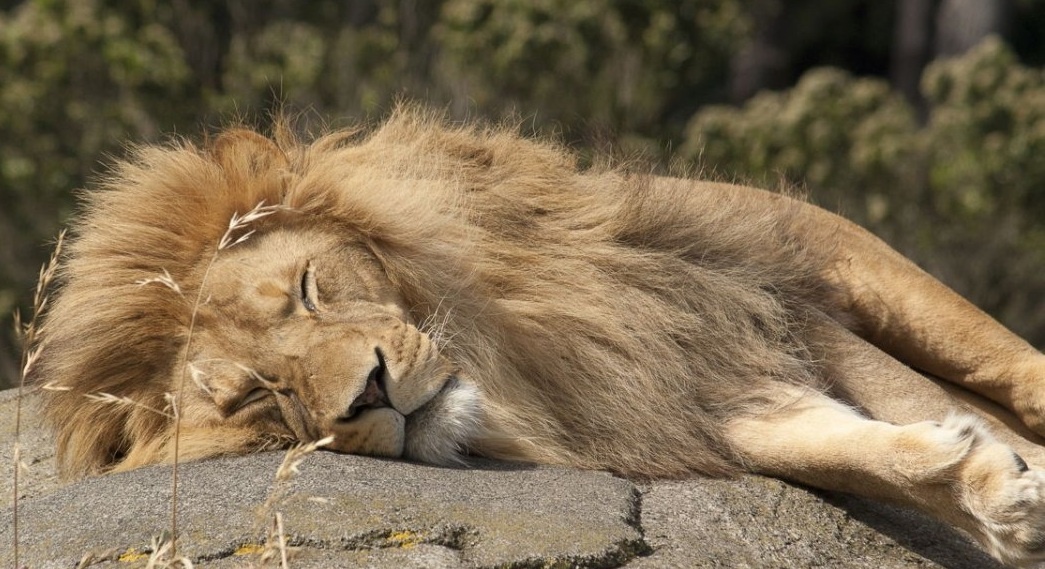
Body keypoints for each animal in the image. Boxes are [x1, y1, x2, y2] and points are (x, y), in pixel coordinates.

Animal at [26, 107, 1045, 566]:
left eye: (310, 290)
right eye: (261, 397)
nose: (367, 391)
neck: (518, 358)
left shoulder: (767, 278)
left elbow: (963, 381)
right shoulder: (693, 391)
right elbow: (858, 445)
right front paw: (993, 494)